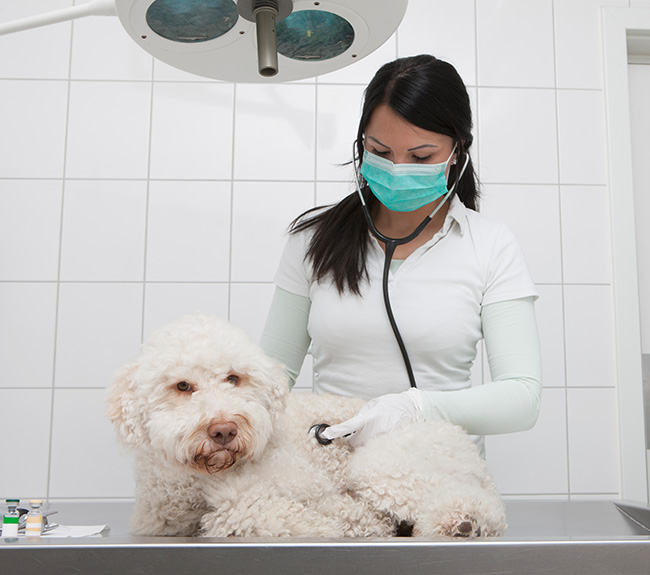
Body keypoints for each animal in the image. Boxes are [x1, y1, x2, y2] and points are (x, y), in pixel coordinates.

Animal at [105, 312, 506, 536]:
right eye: (182, 386)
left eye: (234, 378)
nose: (224, 430)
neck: (201, 481)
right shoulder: (159, 518)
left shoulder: (307, 490)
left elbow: (249, 513)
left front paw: (364, 521)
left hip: (380, 464)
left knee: (481, 504)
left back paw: (463, 520)